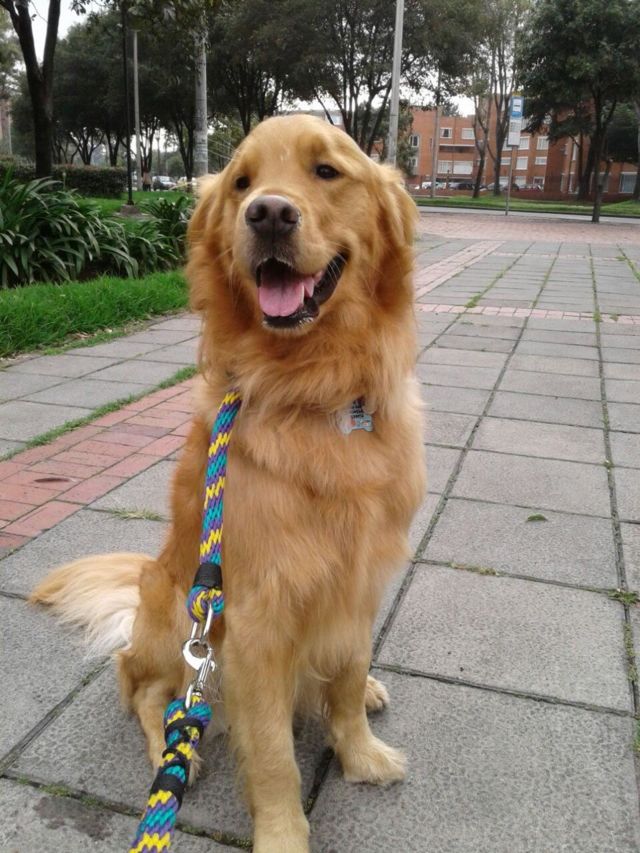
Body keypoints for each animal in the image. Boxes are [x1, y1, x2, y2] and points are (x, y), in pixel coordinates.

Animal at [32, 114, 426, 852]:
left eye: (326, 171)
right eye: (242, 182)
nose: (268, 213)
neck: (314, 391)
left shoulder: (358, 582)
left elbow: (347, 676)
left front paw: (361, 754)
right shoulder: (255, 620)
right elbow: (270, 754)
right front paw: (283, 835)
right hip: (177, 616)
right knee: (143, 686)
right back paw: (173, 750)